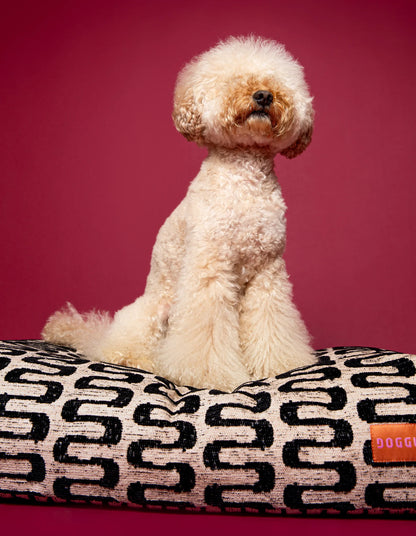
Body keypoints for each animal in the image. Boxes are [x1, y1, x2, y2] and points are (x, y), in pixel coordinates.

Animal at [42, 36, 316, 390]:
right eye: (232, 80)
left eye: (277, 82)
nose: (264, 95)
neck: (245, 176)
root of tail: (99, 336)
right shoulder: (209, 268)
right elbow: (206, 331)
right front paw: (206, 375)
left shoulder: (267, 274)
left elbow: (272, 323)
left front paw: (279, 364)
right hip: (154, 310)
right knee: (122, 350)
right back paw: (147, 361)